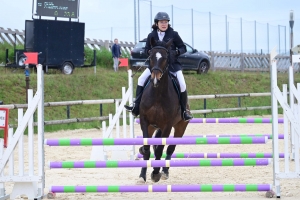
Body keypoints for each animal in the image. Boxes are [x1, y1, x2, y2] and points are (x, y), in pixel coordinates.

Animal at [137, 36, 189, 184]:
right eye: (150, 56)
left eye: (165, 57)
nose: (155, 78)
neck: (158, 94)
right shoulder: (145, 122)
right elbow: (147, 148)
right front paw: (142, 175)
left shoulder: (167, 125)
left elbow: (160, 149)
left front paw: (155, 173)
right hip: (152, 127)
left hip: (180, 127)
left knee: (171, 149)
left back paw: (164, 172)